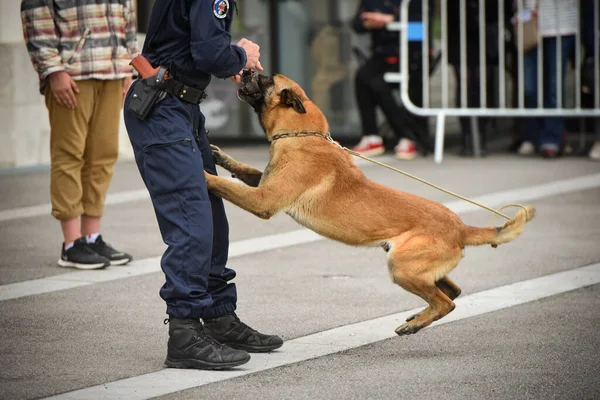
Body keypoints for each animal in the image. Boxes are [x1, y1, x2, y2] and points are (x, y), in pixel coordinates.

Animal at [204, 73, 536, 336]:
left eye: (265, 79)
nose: (246, 69)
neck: (301, 134)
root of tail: (461, 227)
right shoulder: (264, 185)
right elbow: (244, 171)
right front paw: (220, 157)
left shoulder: (264, 200)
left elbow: (223, 184)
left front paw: (204, 174)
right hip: (414, 267)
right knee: (452, 292)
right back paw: (418, 316)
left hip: (401, 267)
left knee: (446, 301)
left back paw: (415, 324)